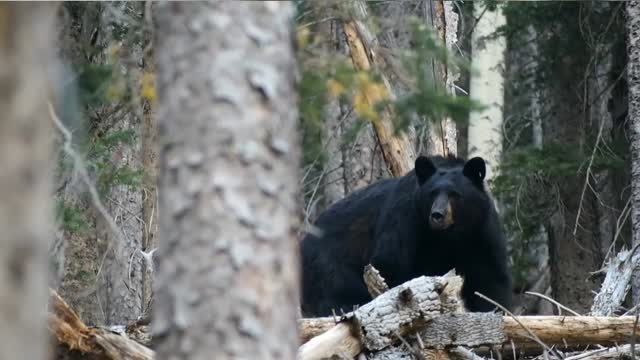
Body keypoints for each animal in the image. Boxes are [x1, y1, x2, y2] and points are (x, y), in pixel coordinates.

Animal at [298, 153, 512, 316]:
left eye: (454, 194)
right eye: (432, 193)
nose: (437, 215)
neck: (450, 235)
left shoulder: (481, 232)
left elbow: (489, 278)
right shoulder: (406, 218)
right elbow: (391, 263)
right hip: (330, 264)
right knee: (338, 293)